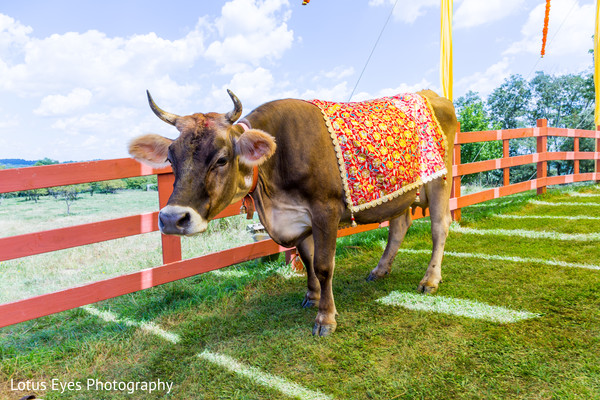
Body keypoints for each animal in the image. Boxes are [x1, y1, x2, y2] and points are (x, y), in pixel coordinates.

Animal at [129, 90, 458, 334]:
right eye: (170, 159)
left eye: (221, 159)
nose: (172, 219)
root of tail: (430, 93)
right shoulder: (297, 218)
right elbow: (307, 259)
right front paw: (312, 296)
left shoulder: (325, 210)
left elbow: (324, 265)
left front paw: (326, 317)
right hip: (401, 193)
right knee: (399, 225)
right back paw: (380, 269)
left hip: (439, 180)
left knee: (439, 227)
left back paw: (430, 279)